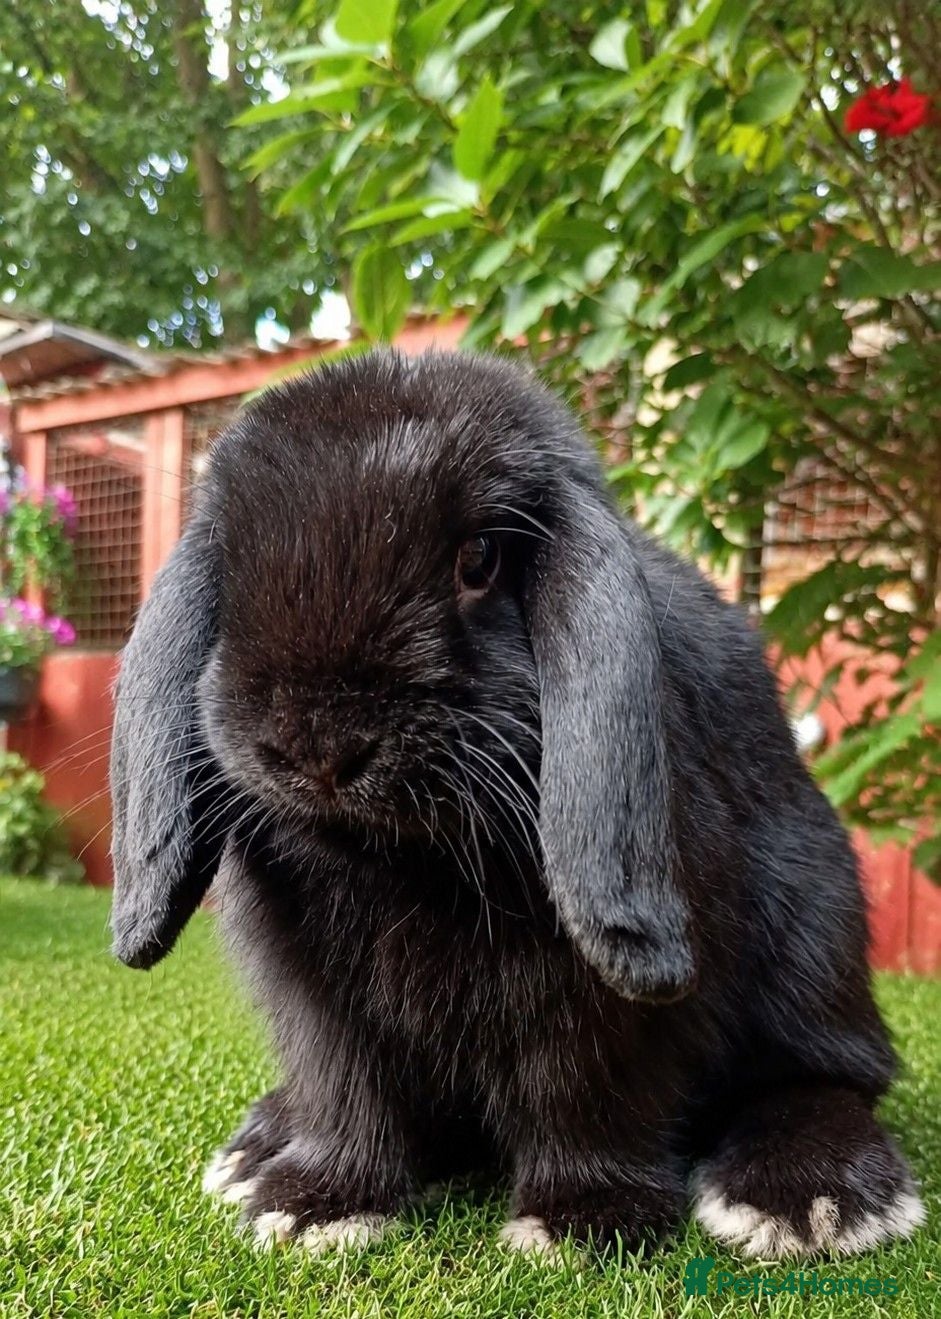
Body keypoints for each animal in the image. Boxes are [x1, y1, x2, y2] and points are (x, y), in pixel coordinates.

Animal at [110, 348, 924, 1260]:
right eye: (232, 564)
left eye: (478, 562)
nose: (316, 746)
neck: (404, 855)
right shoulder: (316, 995)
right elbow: (346, 1091)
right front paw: (311, 1205)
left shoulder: (610, 999)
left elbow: (587, 1093)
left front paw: (580, 1222)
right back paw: (256, 1146)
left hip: (814, 938)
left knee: (825, 1080)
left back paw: (806, 1200)